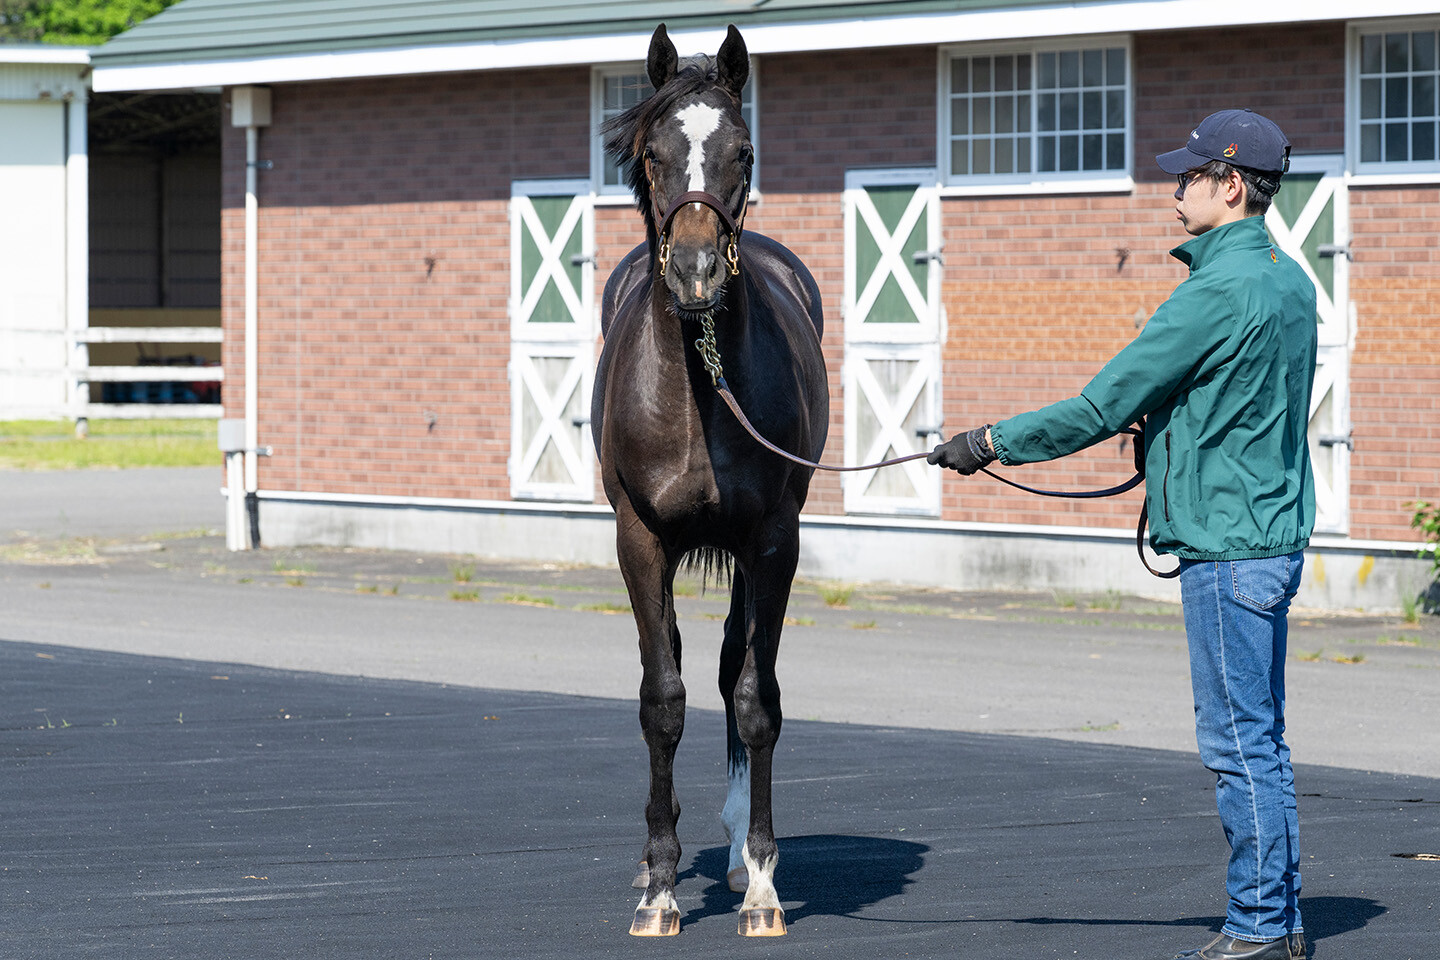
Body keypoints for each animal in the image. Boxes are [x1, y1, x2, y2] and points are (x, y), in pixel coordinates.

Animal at [591, 22, 829, 939]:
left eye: (744, 151)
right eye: (653, 153)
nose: (696, 271)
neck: (699, 384)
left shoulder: (770, 541)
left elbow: (756, 699)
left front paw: (762, 884)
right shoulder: (640, 539)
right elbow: (662, 699)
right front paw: (659, 887)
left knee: (732, 667)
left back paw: (735, 854)